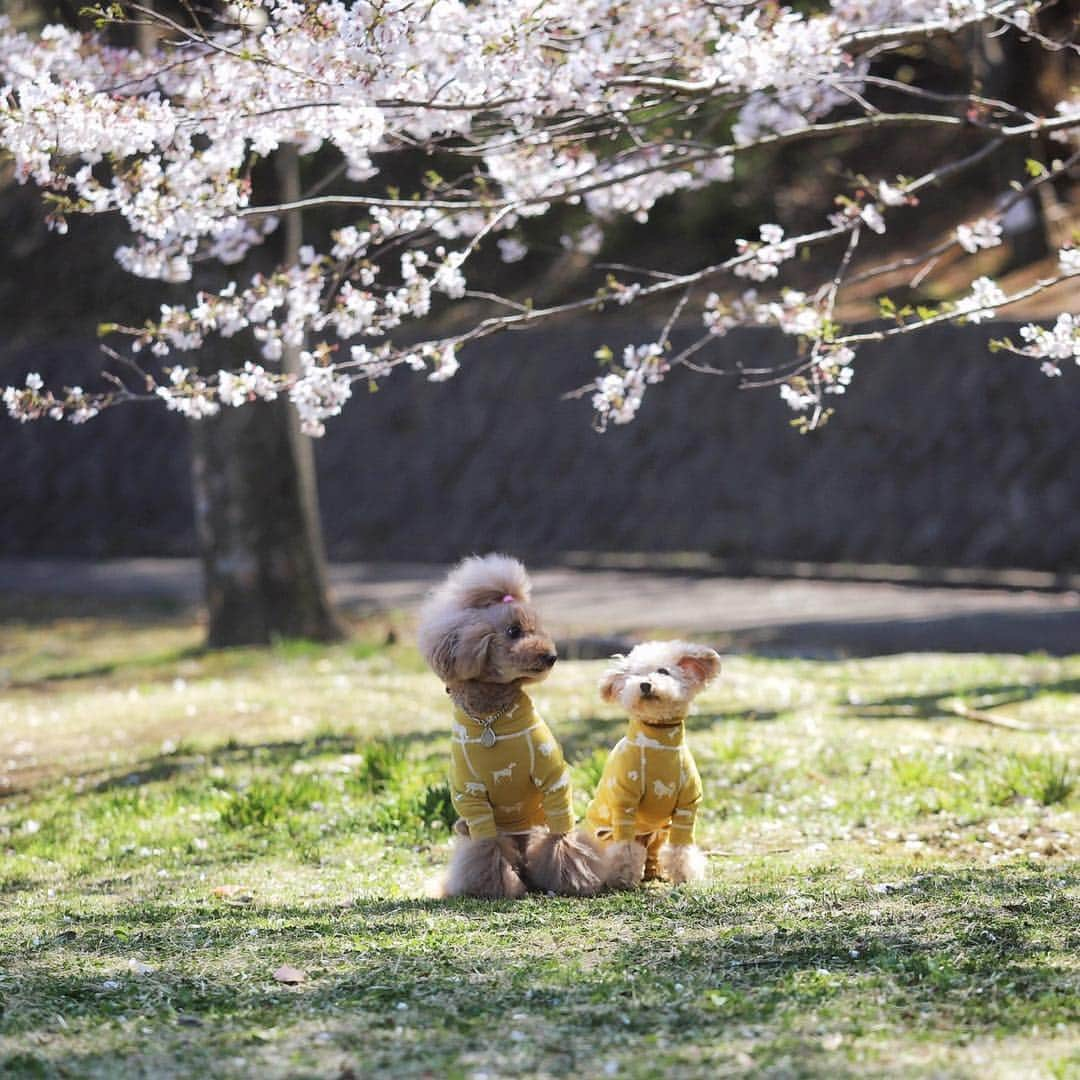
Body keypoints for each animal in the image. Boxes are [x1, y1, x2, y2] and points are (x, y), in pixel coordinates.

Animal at [416, 552, 604, 898]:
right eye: (513, 631)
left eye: (537, 629)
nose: (551, 656)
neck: (493, 717)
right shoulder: (470, 796)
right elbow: (486, 847)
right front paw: (492, 885)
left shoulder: (553, 779)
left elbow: (561, 836)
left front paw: (572, 878)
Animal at [587, 639, 721, 885]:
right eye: (636, 674)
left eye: (663, 671)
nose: (645, 685)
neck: (659, 742)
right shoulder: (624, 803)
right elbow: (625, 849)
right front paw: (622, 878)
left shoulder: (687, 806)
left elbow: (680, 848)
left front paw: (683, 876)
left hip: (659, 832)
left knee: (654, 852)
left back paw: (654, 873)